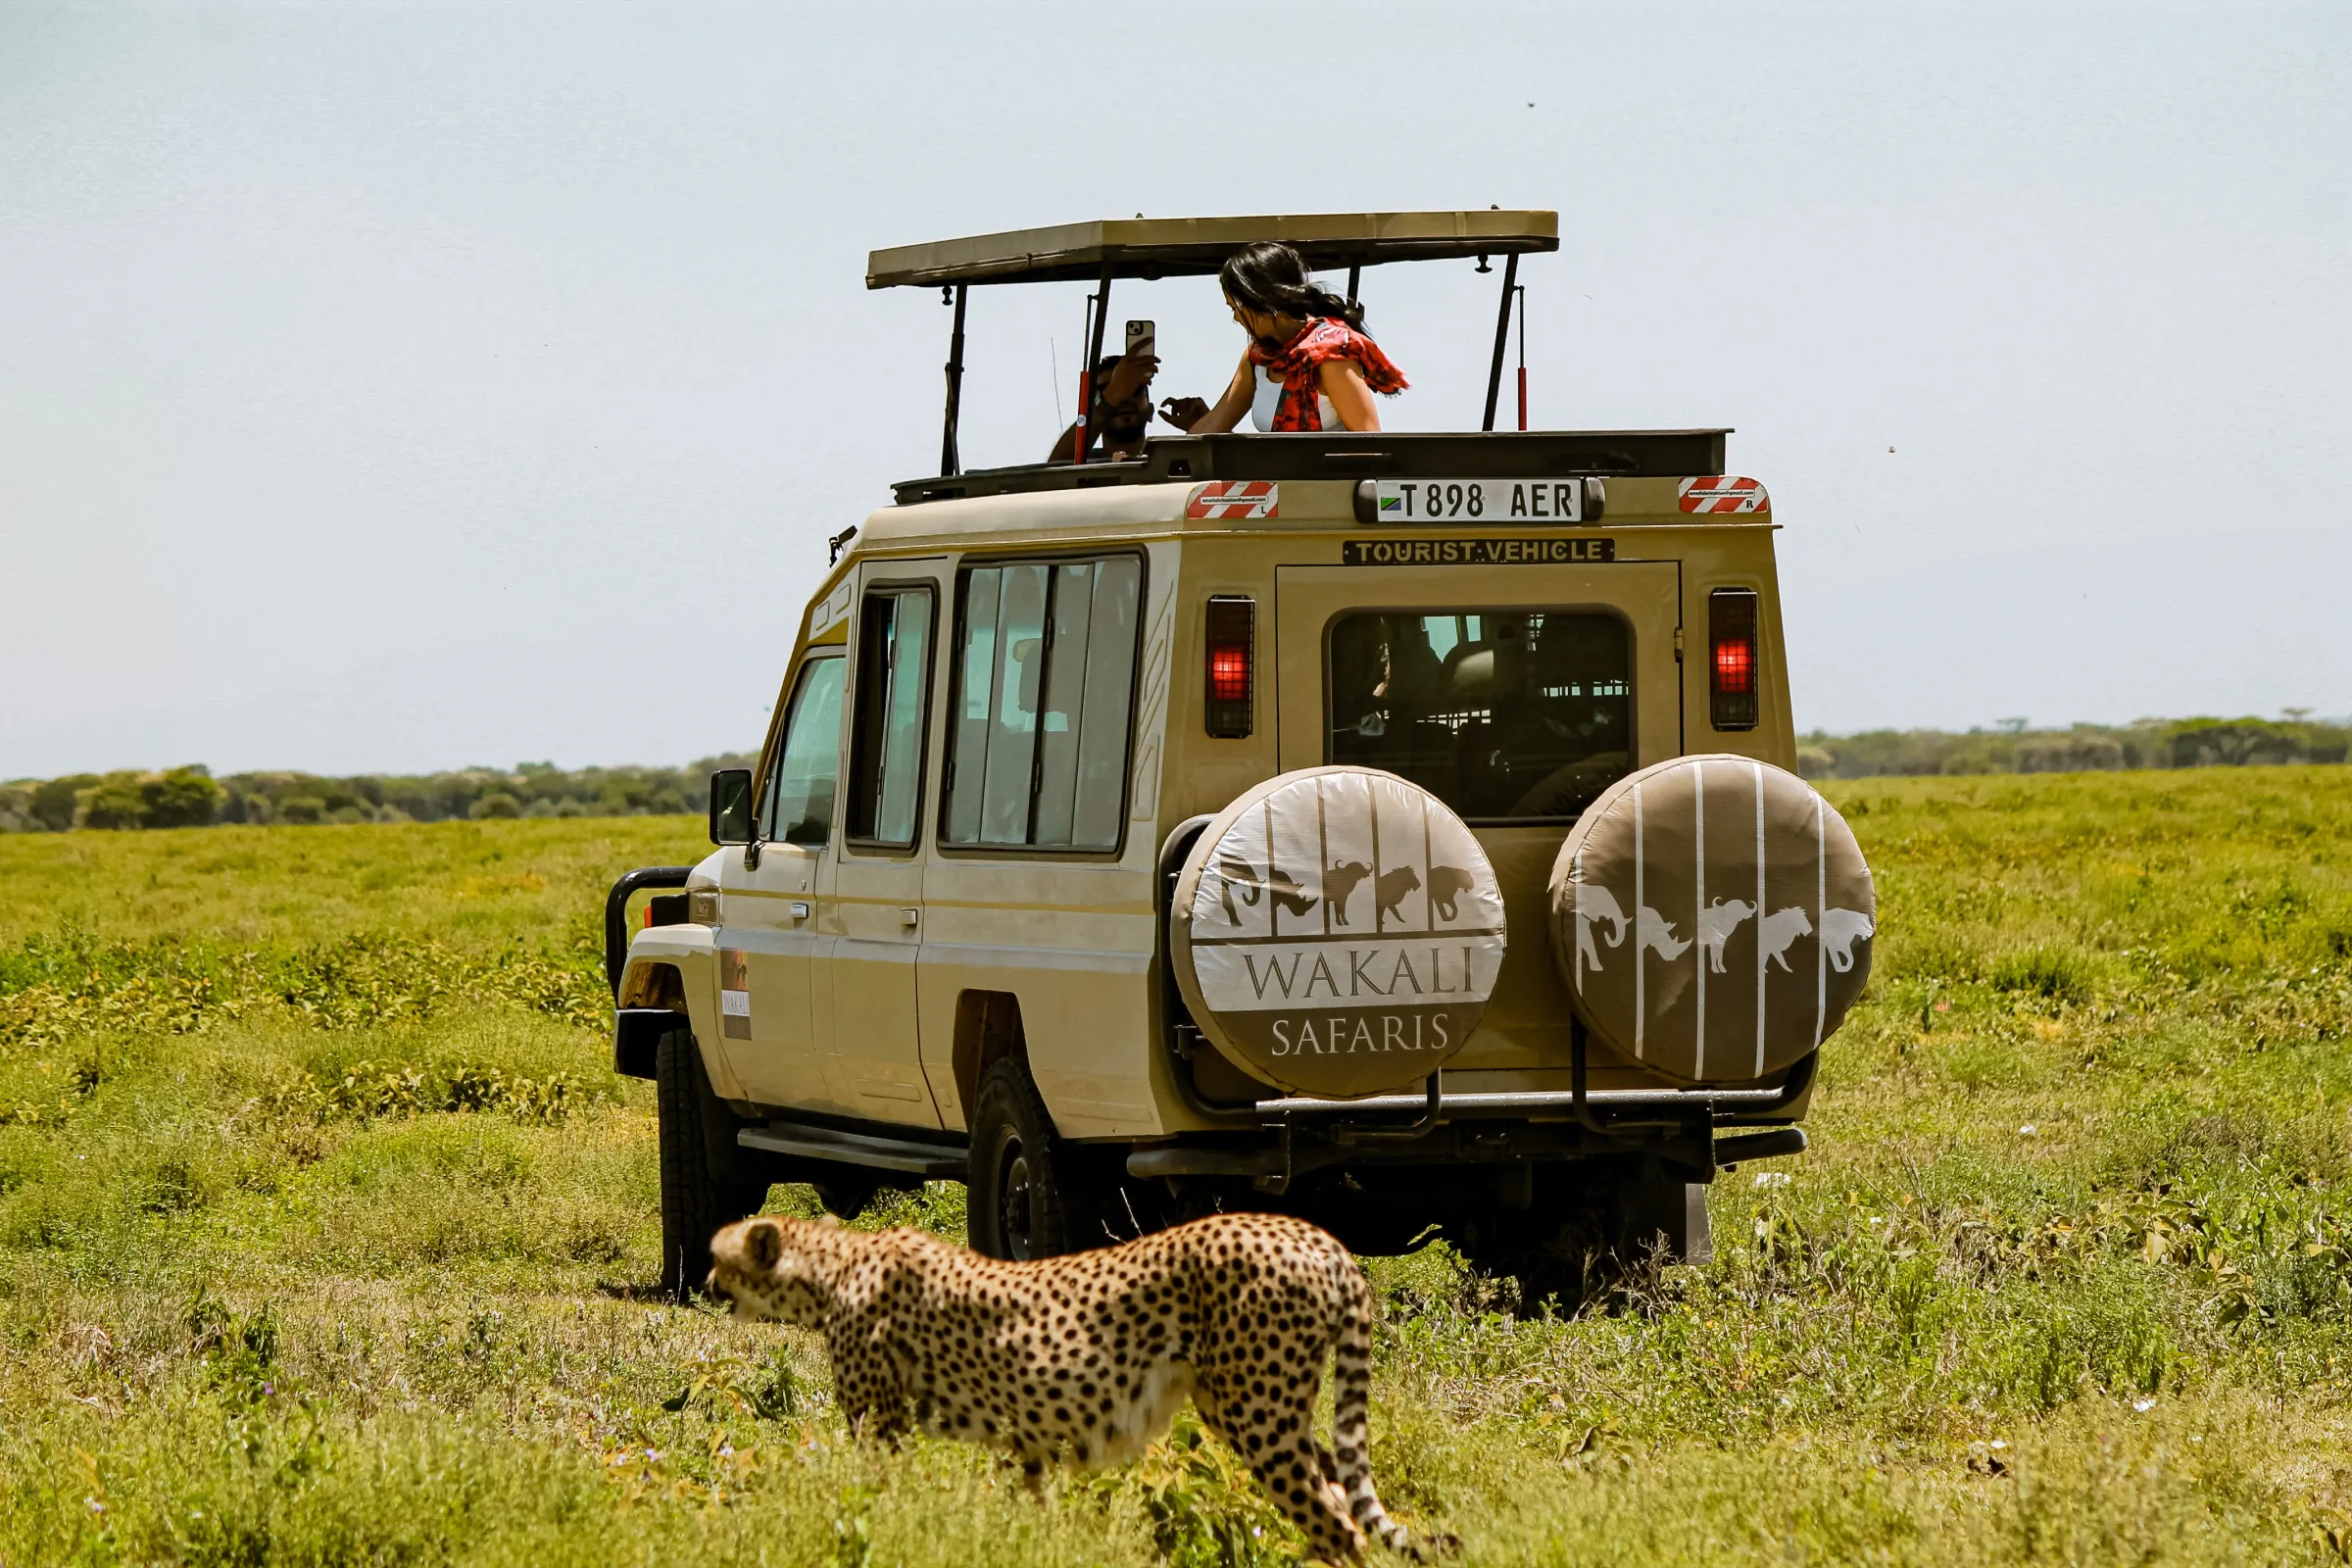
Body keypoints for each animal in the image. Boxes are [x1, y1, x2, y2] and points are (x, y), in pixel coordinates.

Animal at [706, 1210, 1417, 1564]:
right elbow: (1030, 1508)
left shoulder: (880, 1423)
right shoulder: (1024, 1445)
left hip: (1258, 1411)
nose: (707, 1285)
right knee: (1339, 1494)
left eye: (719, 1258)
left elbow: (880, 1496)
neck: (833, 1268)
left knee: (1337, 1524)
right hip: (1248, 1406)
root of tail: (1320, 1238)